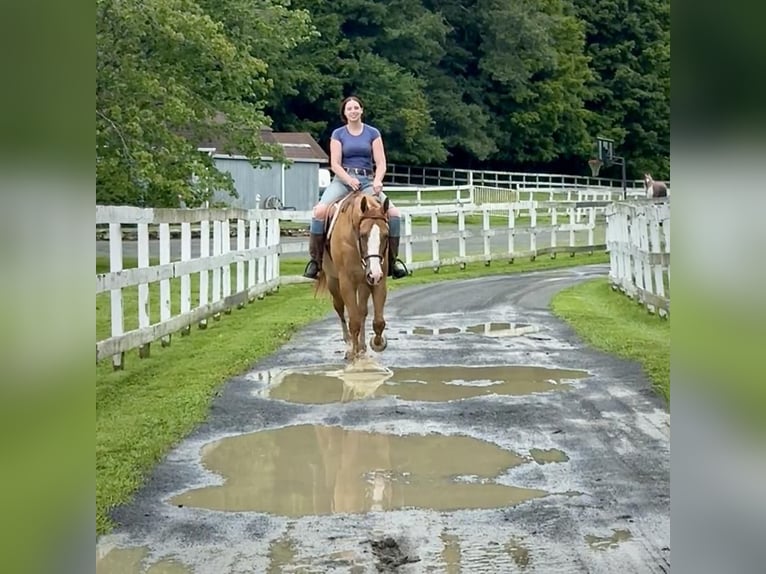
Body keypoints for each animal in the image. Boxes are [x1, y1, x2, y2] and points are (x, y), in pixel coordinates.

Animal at [316, 196, 390, 362]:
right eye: (363, 235)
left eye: (386, 235)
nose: (374, 273)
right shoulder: (347, 283)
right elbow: (354, 321)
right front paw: (353, 353)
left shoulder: (378, 281)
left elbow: (378, 322)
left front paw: (377, 343)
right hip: (333, 282)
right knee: (339, 308)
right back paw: (349, 341)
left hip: (363, 284)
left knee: (362, 311)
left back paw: (362, 346)